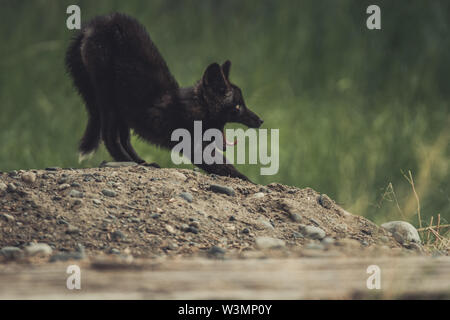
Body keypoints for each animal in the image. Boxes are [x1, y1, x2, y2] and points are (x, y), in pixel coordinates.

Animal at [67, 12, 264, 181]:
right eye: (237, 107)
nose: (260, 121)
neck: (193, 109)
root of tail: (97, 23)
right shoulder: (194, 148)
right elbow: (227, 168)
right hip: (108, 99)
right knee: (109, 136)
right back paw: (131, 161)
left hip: (123, 107)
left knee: (123, 139)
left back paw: (141, 162)